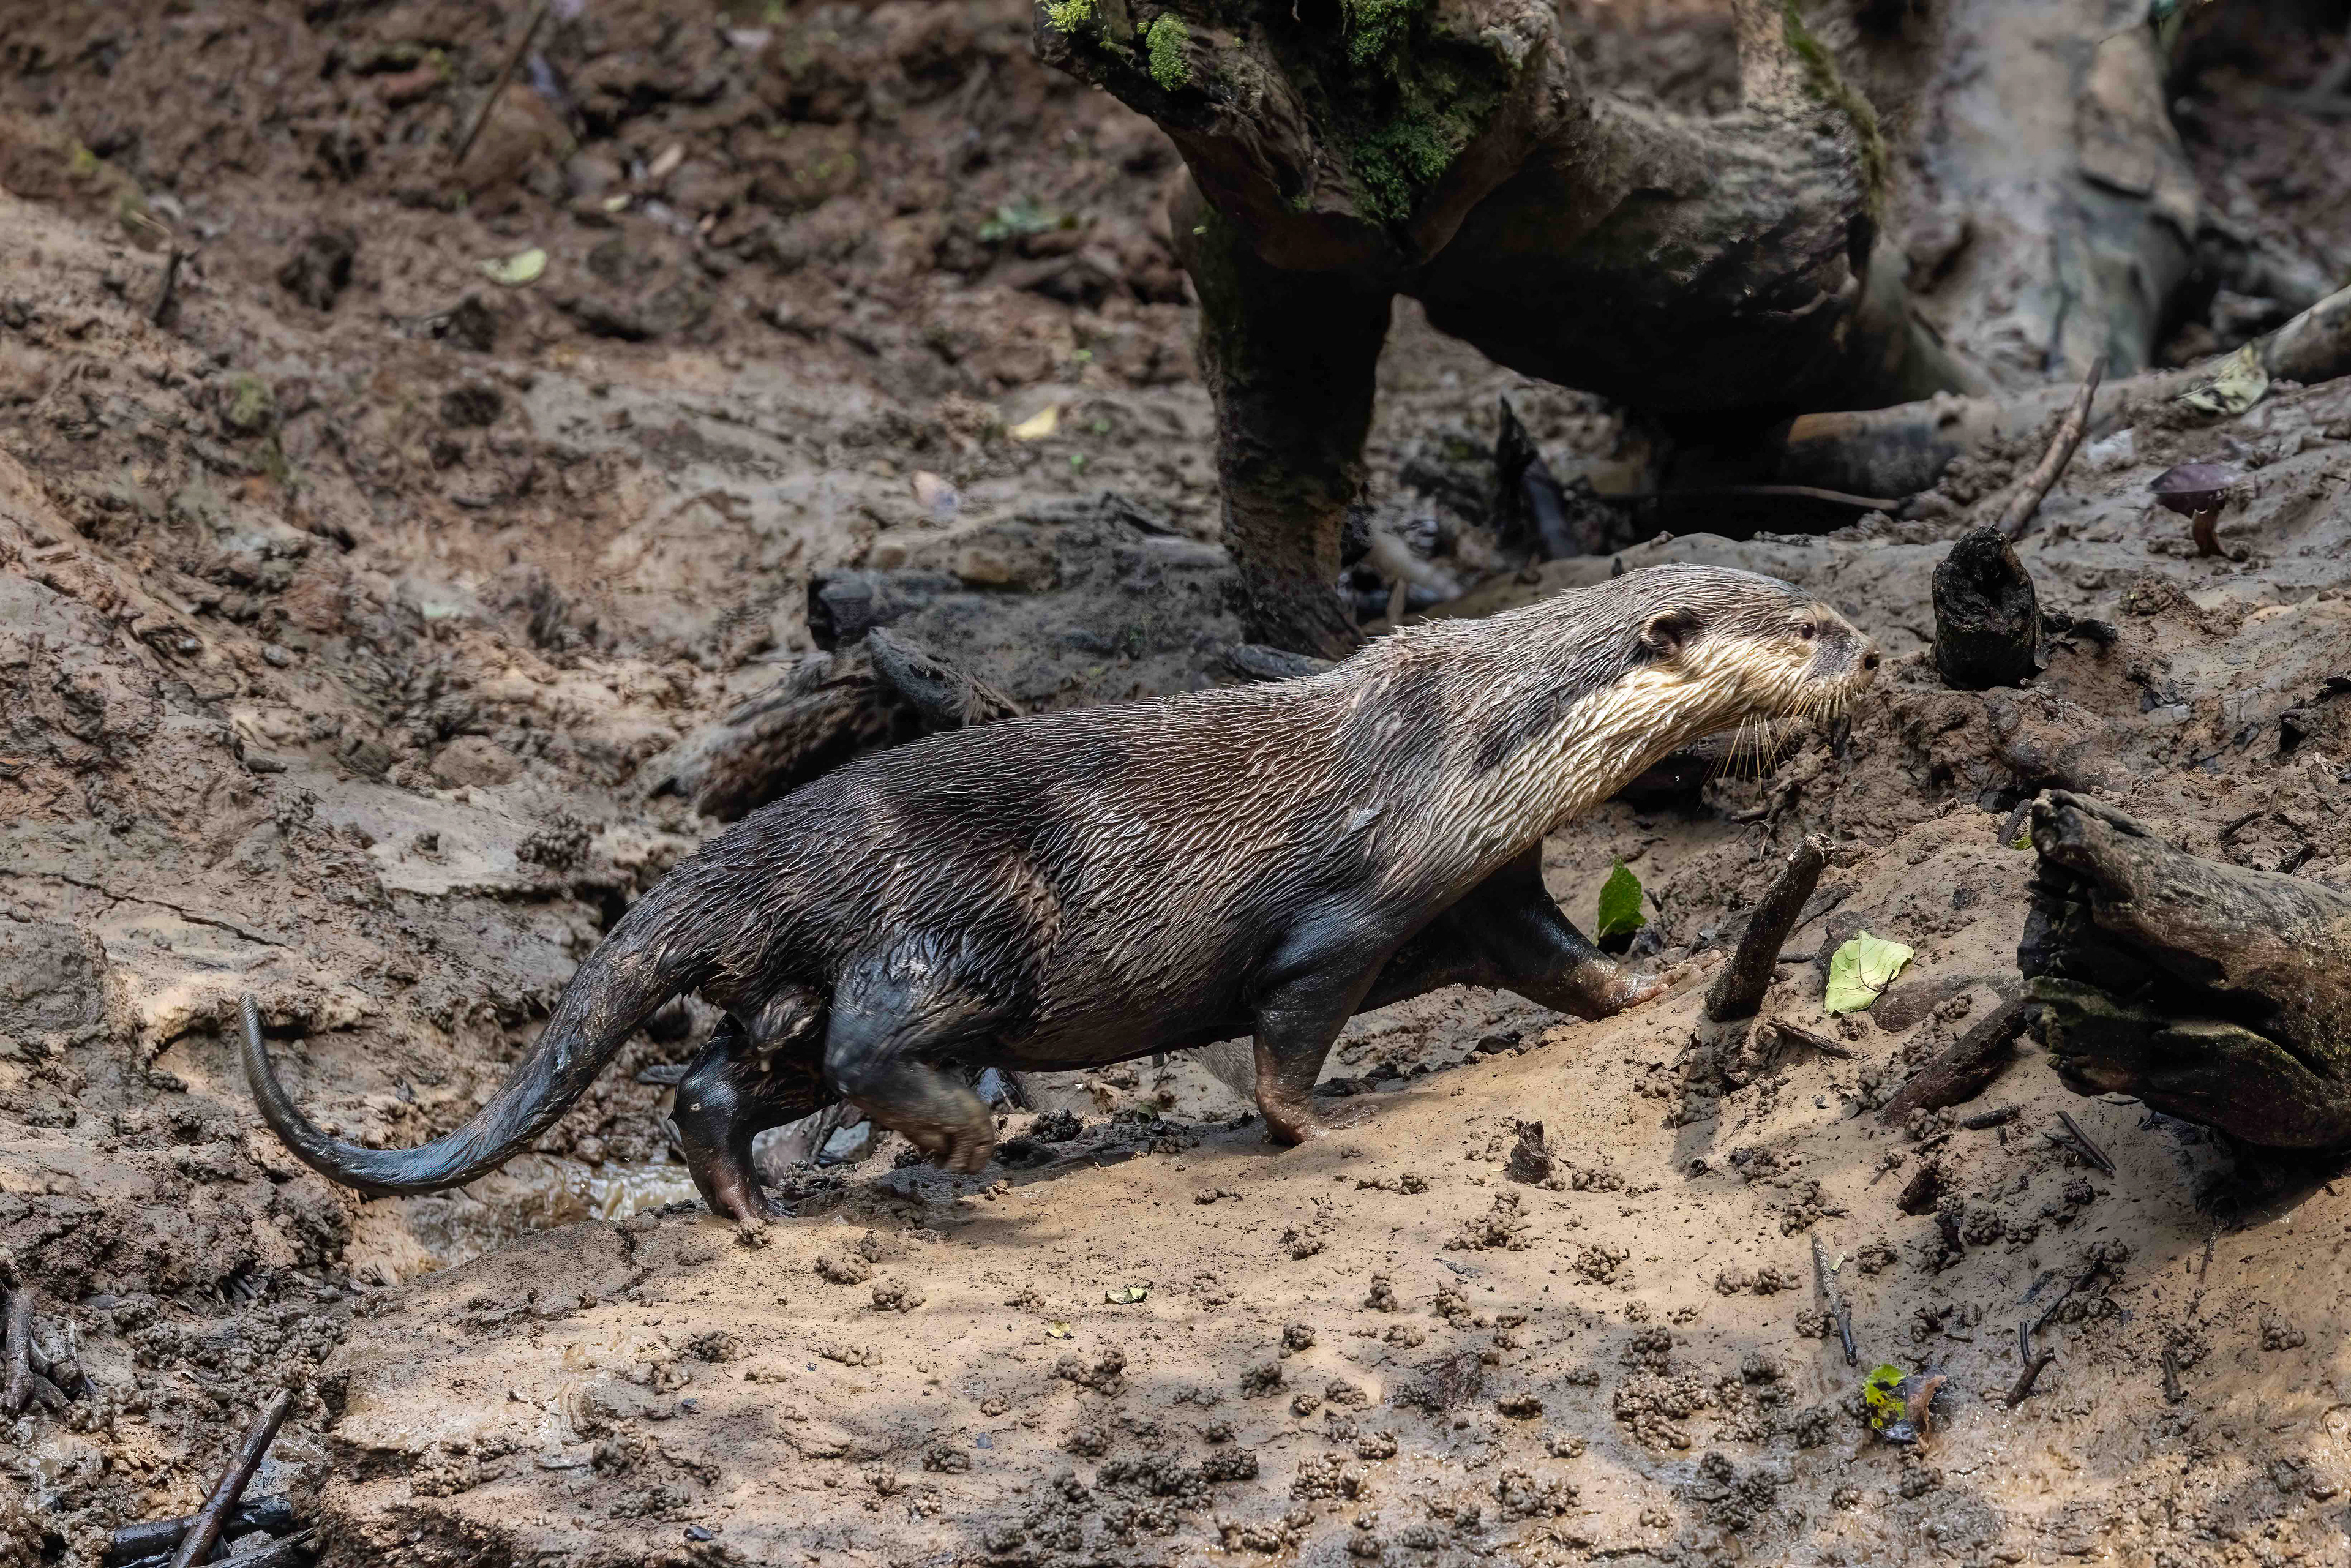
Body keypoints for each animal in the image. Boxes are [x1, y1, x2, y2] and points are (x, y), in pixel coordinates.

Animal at [243, 565, 1879, 1223]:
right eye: (1804, 621)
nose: (1869, 645)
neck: (1471, 744)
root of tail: (768, 839)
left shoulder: (1482, 881)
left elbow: (1554, 955)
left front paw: (1643, 983)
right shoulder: (1356, 900)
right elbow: (1289, 1026)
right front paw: (1310, 1127)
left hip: (818, 978)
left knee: (719, 1078)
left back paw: (758, 1206)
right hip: (952, 925)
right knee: (864, 1042)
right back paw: (983, 1133)